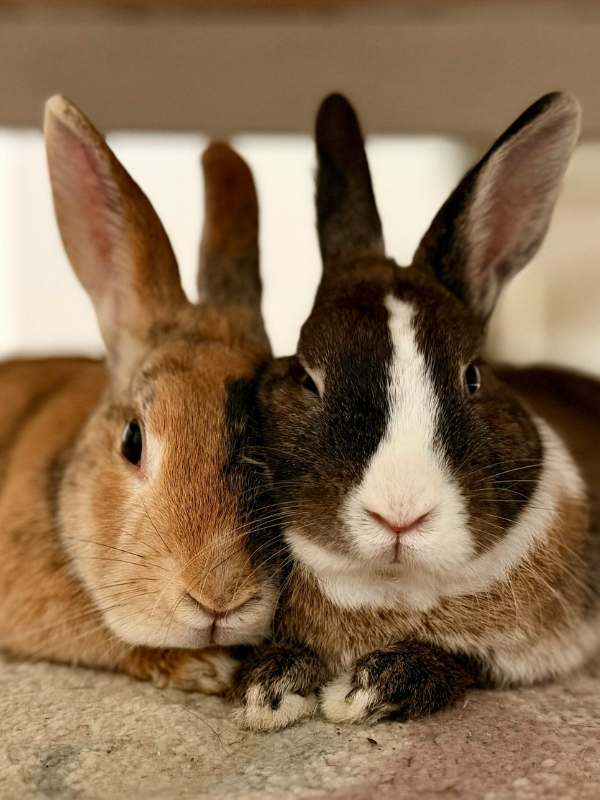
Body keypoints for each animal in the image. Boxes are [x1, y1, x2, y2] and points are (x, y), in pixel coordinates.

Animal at [230, 91, 600, 730]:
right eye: (307, 376)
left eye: (473, 376)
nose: (399, 516)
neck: (395, 586)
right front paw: (268, 689)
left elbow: (464, 662)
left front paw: (368, 691)